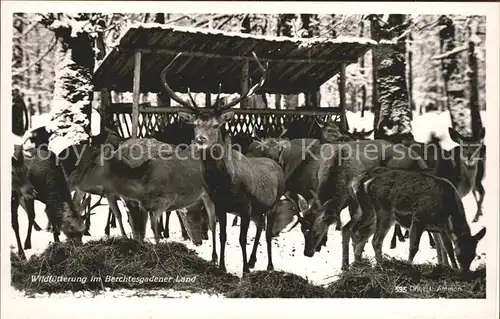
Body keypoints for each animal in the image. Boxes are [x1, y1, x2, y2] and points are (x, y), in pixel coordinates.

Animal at [160, 52, 286, 272]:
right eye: (195, 124)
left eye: (216, 125)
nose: (200, 139)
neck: (225, 183)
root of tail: (277, 166)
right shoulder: (220, 205)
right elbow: (222, 235)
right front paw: (222, 266)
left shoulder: (245, 206)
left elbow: (242, 238)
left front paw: (244, 271)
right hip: (258, 209)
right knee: (260, 226)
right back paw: (253, 261)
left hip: (274, 201)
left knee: (268, 232)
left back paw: (269, 265)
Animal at [348, 166, 484, 274]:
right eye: (459, 254)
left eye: (473, 255)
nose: (465, 273)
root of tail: (361, 182)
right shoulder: (419, 218)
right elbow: (414, 246)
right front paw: (408, 266)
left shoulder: (440, 228)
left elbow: (446, 247)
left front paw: (451, 268)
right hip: (384, 211)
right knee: (375, 240)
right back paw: (381, 266)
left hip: (368, 211)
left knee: (358, 232)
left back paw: (358, 263)